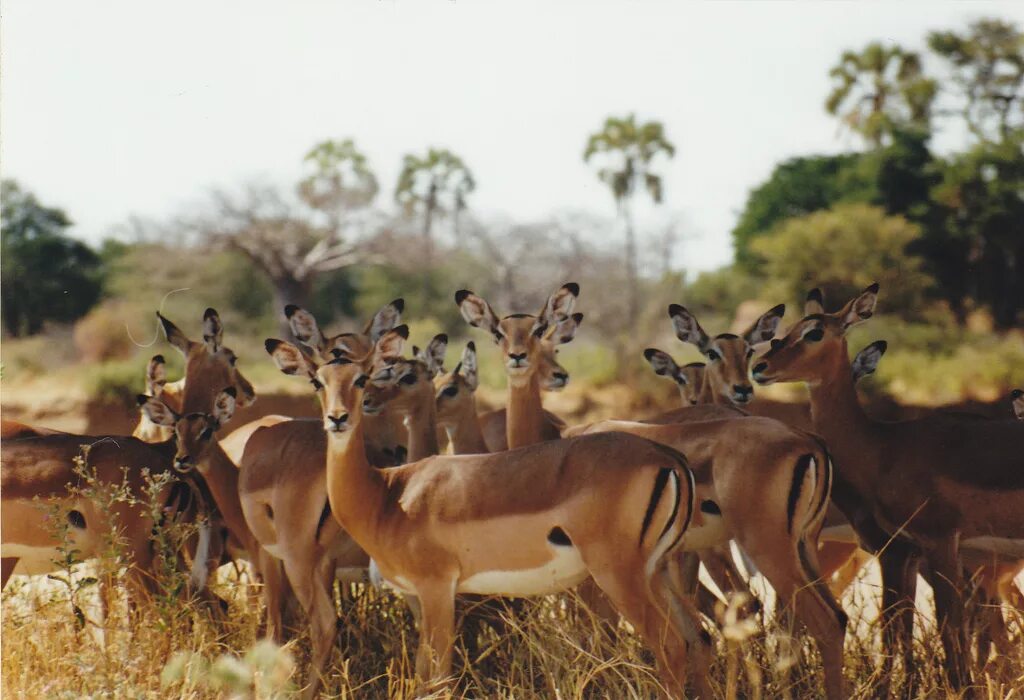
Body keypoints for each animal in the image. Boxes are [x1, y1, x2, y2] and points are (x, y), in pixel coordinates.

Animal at [753, 282, 1024, 687]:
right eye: (780, 334)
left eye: (814, 332)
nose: (760, 368)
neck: (881, 446)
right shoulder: (908, 551)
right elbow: (901, 628)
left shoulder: (935, 543)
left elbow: (946, 632)